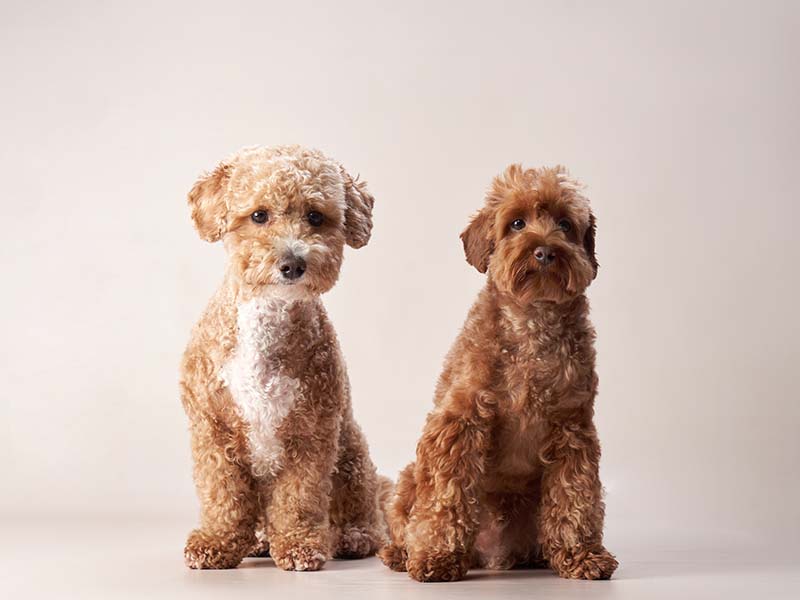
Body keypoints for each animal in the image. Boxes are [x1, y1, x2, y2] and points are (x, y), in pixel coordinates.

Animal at [179, 144, 390, 572]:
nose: (293, 263)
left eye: (316, 216)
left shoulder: (312, 433)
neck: (267, 317)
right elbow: (222, 494)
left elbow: (299, 499)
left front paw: (298, 545)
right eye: (259, 215)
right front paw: (217, 542)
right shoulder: (212, 430)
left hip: (352, 454)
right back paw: (258, 541)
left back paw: (350, 537)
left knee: (364, 511)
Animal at [380, 164, 620, 580]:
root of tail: (490, 554)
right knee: (404, 518)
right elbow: (446, 496)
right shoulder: (459, 423)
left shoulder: (572, 429)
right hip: (409, 477)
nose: (544, 251)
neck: (532, 321)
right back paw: (402, 552)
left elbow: (575, 496)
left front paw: (581, 554)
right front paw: (437, 557)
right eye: (516, 223)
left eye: (564, 224)